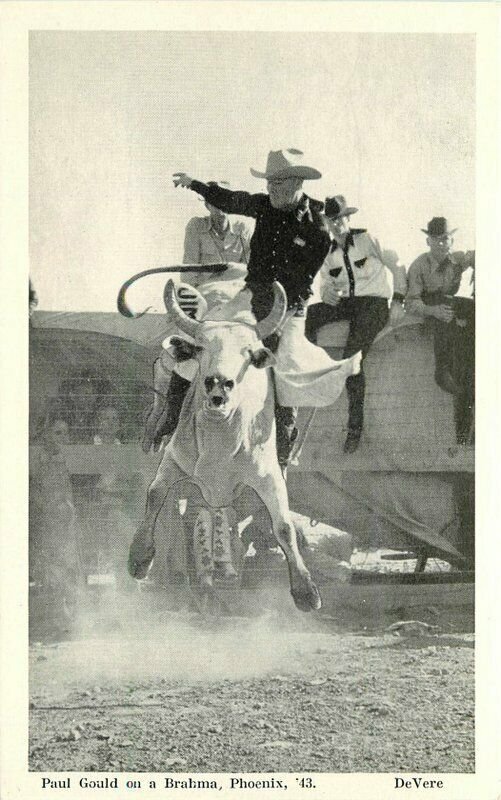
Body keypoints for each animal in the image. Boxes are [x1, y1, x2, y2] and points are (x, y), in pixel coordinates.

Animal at [126, 282, 320, 612]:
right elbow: (154, 494)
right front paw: (139, 558)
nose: (219, 384)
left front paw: (306, 591)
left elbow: (283, 525)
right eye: (201, 348)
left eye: (248, 353)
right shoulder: (174, 460)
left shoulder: (268, 477)